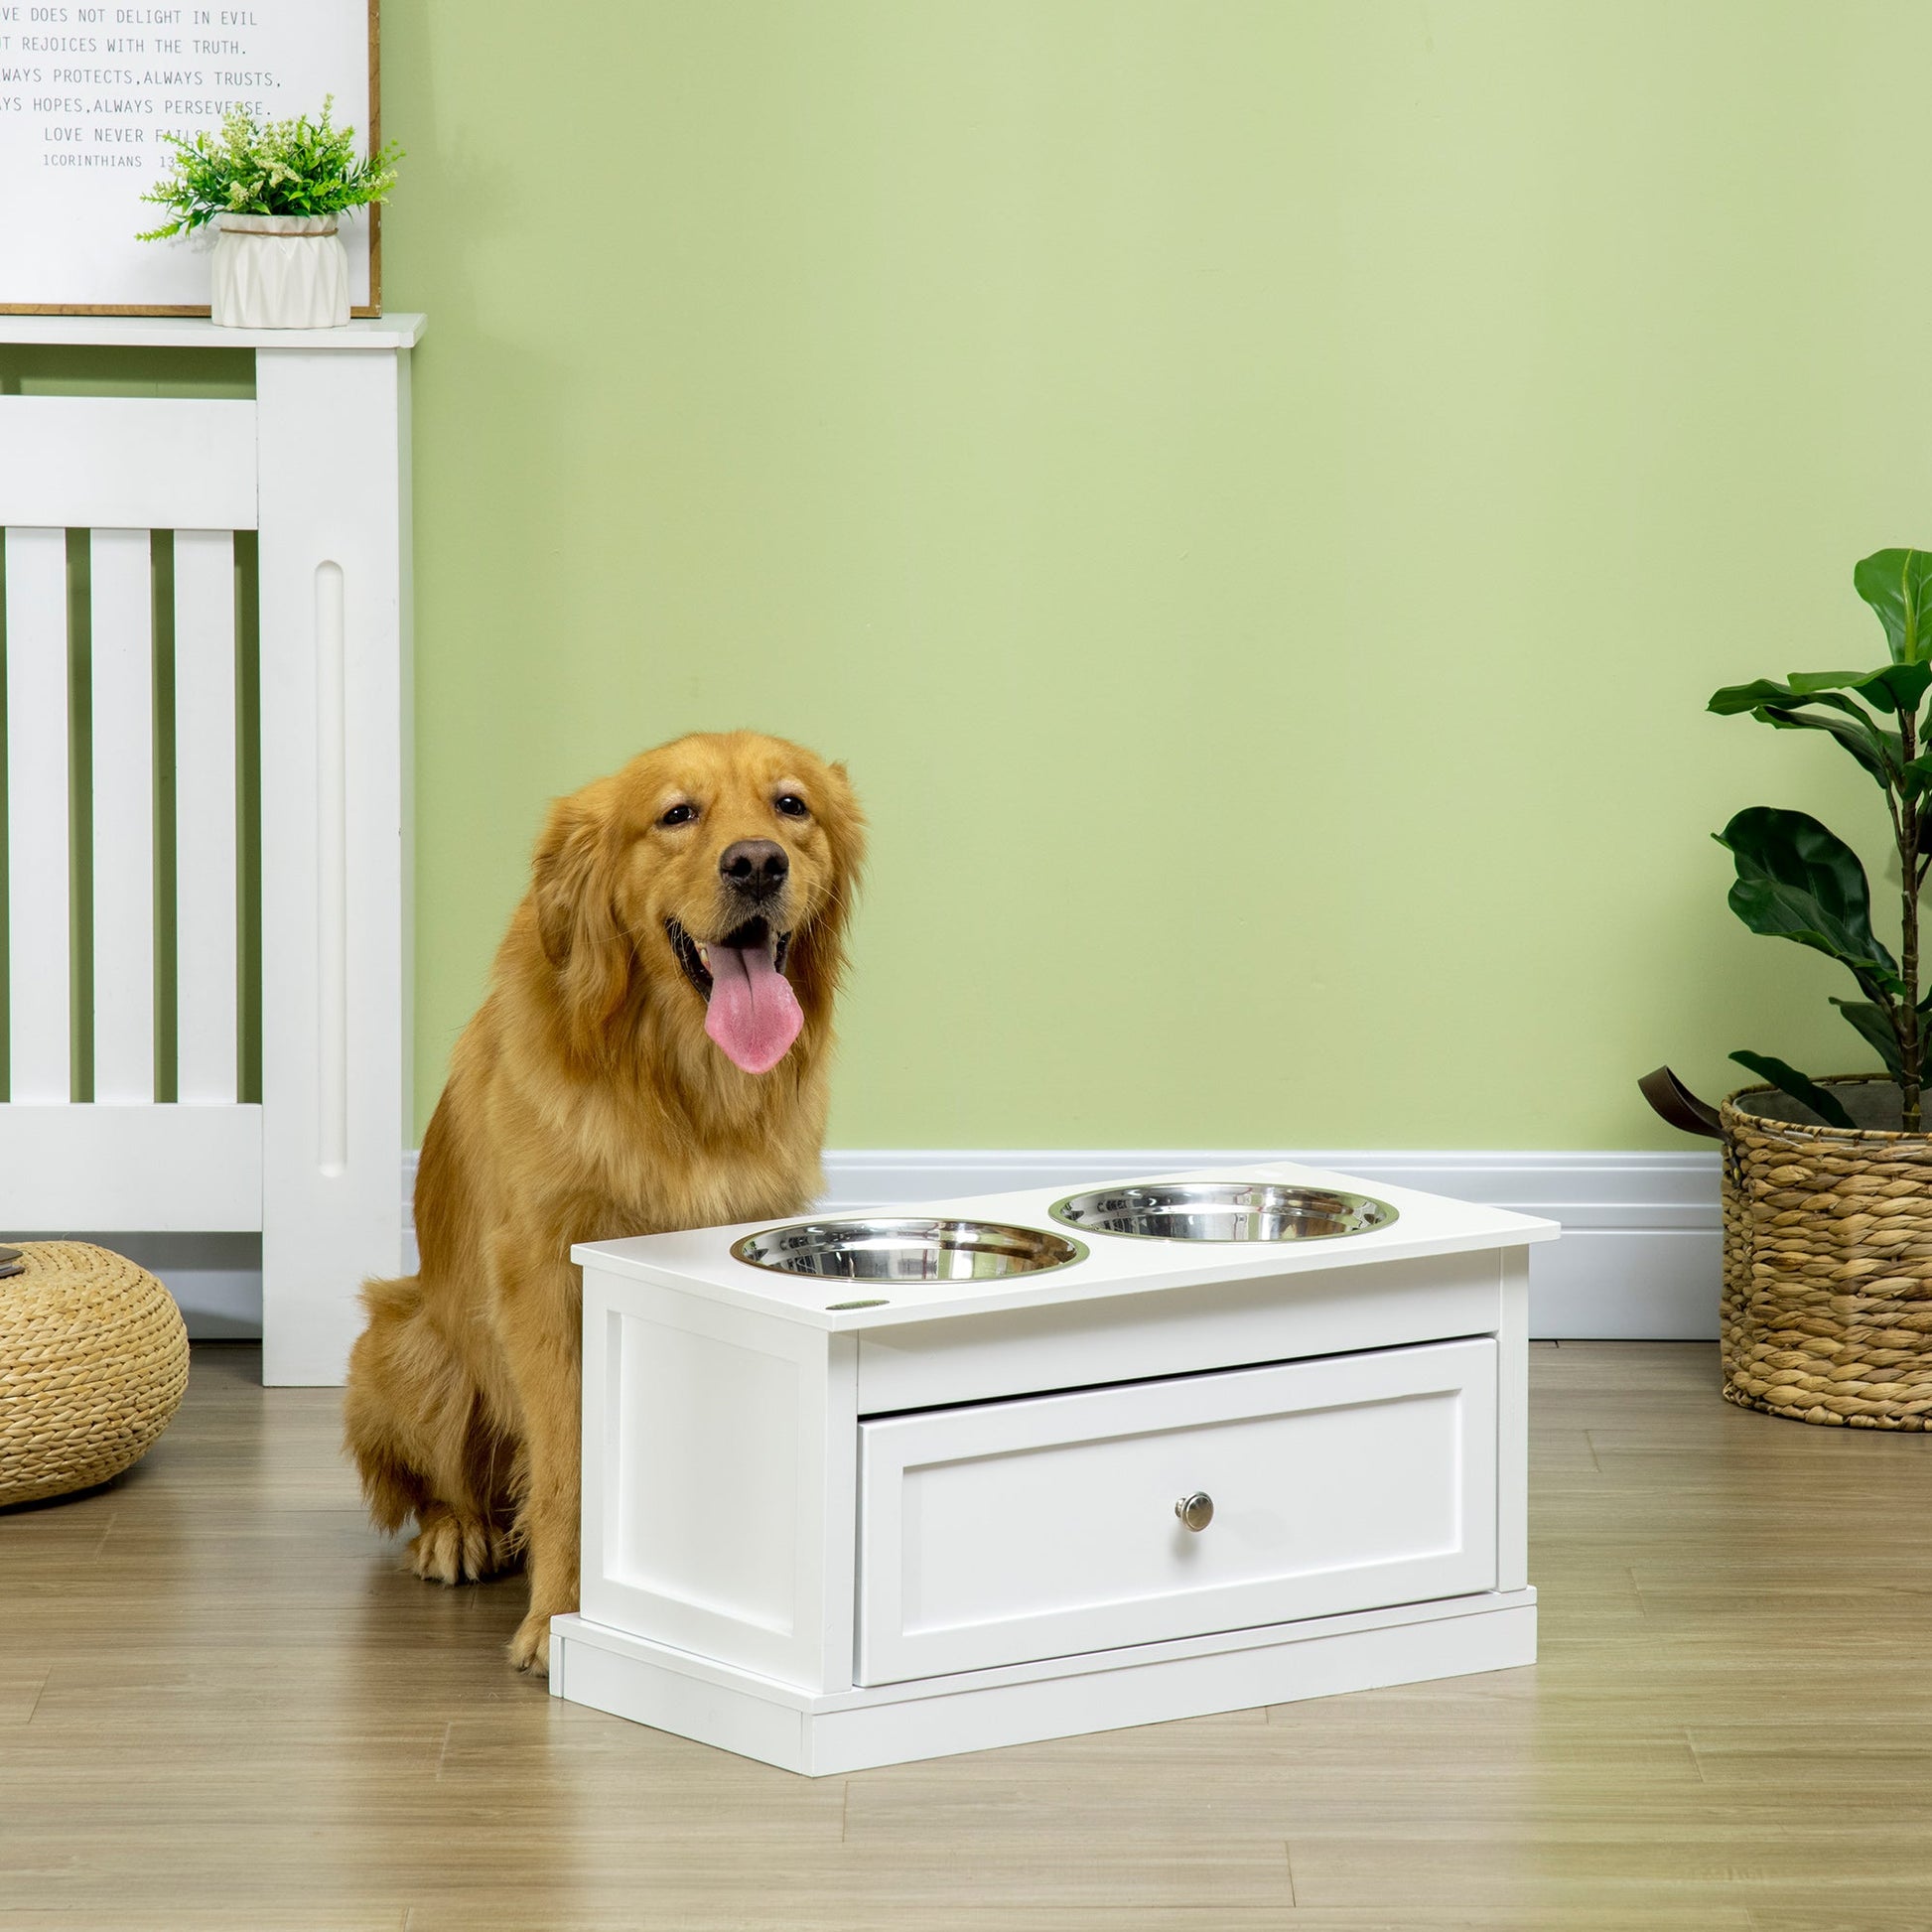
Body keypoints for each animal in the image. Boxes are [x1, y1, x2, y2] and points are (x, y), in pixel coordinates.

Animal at [344, 730, 865, 1669]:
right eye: (676, 813)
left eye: (791, 806)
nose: (757, 863)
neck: (677, 1081)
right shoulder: (545, 1279)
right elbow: (567, 1468)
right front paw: (561, 1622)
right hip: (403, 1346)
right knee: (446, 1487)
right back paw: (456, 1534)